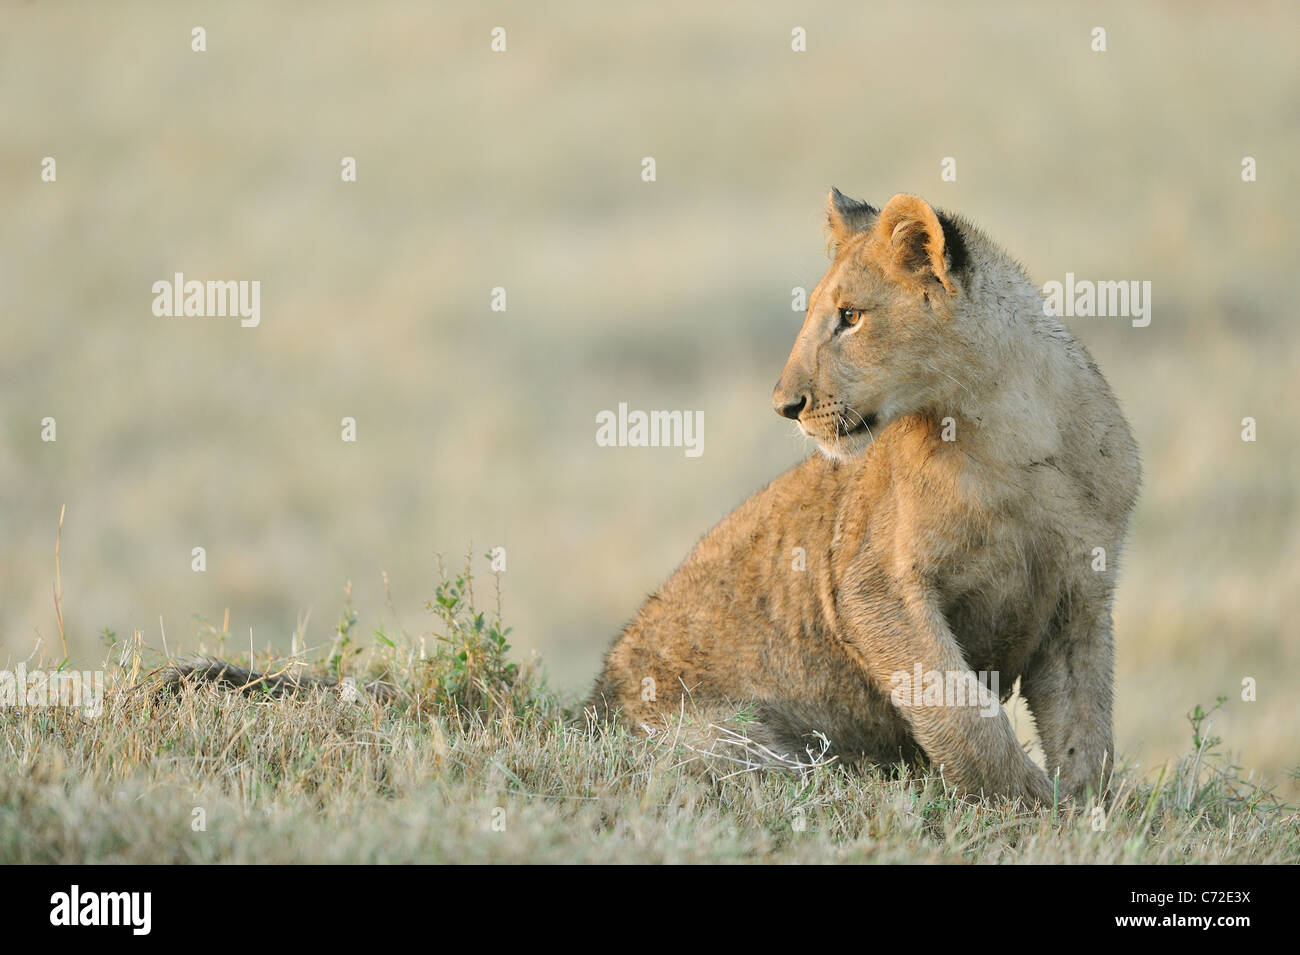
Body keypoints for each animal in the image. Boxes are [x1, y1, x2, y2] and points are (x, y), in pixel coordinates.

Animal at [586, 190, 1141, 805]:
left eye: (850, 317)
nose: (785, 405)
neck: (1007, 428)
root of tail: (589, 708)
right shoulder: (874, 586)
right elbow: (957, 706)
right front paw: (1024, 801)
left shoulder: (1082, 595)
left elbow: (1085, 729)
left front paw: (1085, 809)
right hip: (731, 737)